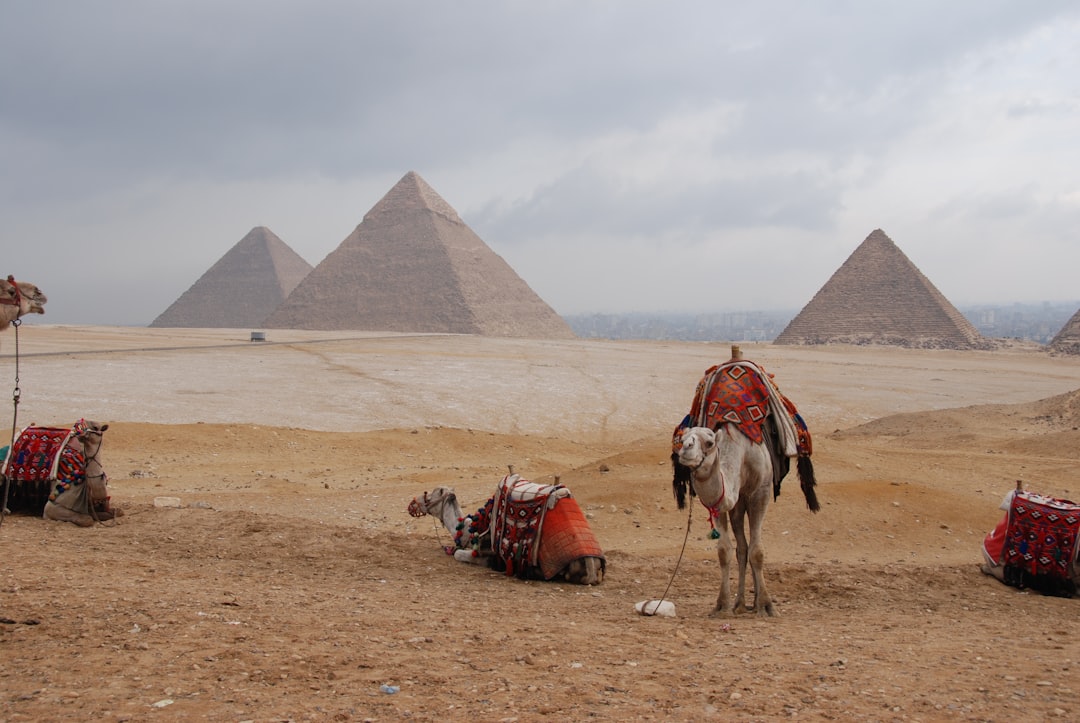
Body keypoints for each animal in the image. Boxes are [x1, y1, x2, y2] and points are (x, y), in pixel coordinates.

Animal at [406, 473, 609, 587]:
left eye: (429, 495)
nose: (412, 503)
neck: (471, 530)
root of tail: (593, 567)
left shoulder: (486, 554)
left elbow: (458, 554)